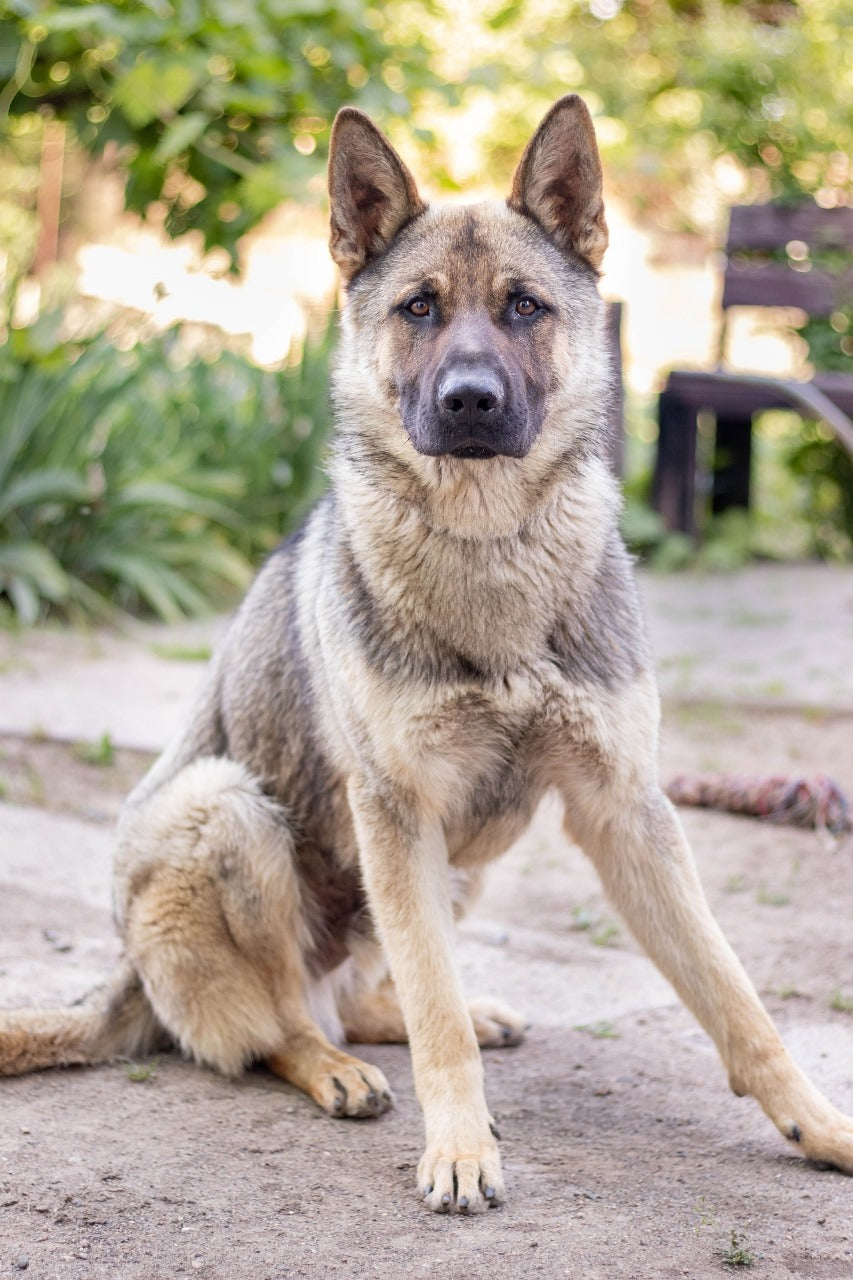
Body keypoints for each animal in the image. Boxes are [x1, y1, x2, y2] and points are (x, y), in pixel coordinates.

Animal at [1, 97, 850, 1208]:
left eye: (525, 307)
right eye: (418, 308)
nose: (470, 400)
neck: (490, 549)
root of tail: (126, 984)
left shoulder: (625, 810)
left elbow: (733, 995)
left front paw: (815, 1122)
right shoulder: (396, 812)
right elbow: (436, 1017)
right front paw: (459, 1148)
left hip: (457, 863)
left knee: (378, 987)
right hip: (229, 810)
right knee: (283, 1020)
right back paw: (332, 1066)